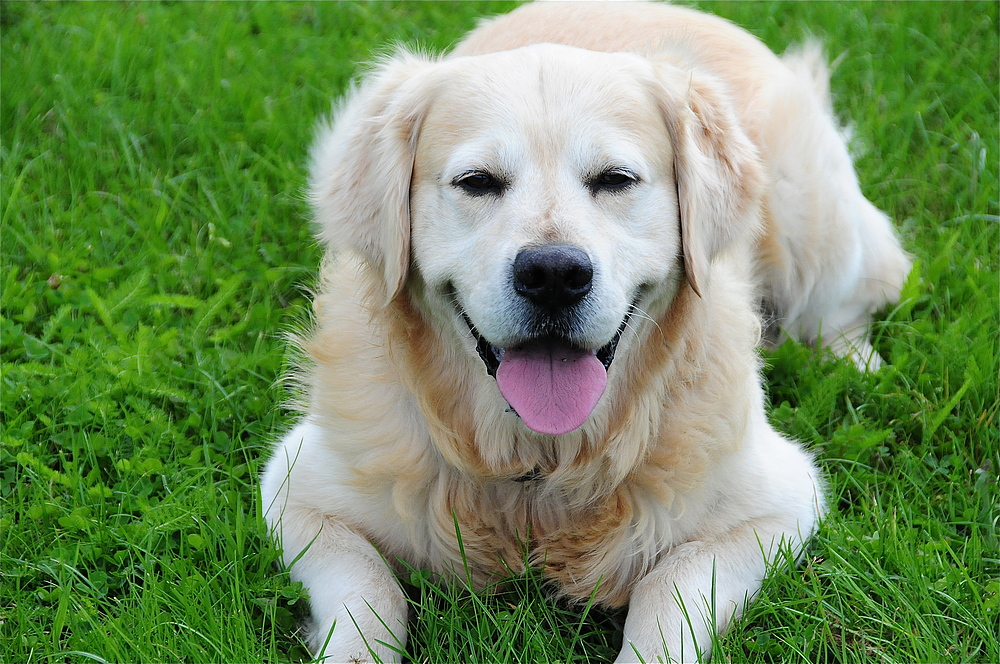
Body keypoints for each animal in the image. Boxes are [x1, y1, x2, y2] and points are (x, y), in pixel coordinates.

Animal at [262, 2, 912, 660]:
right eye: (477, 182)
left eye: (615, 179)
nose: (553, 274)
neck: (538, 472)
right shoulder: (295, 490)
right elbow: (368, 595)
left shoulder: (780, 503)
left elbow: (667, 591)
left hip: (813, 218)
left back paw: (857, 365)